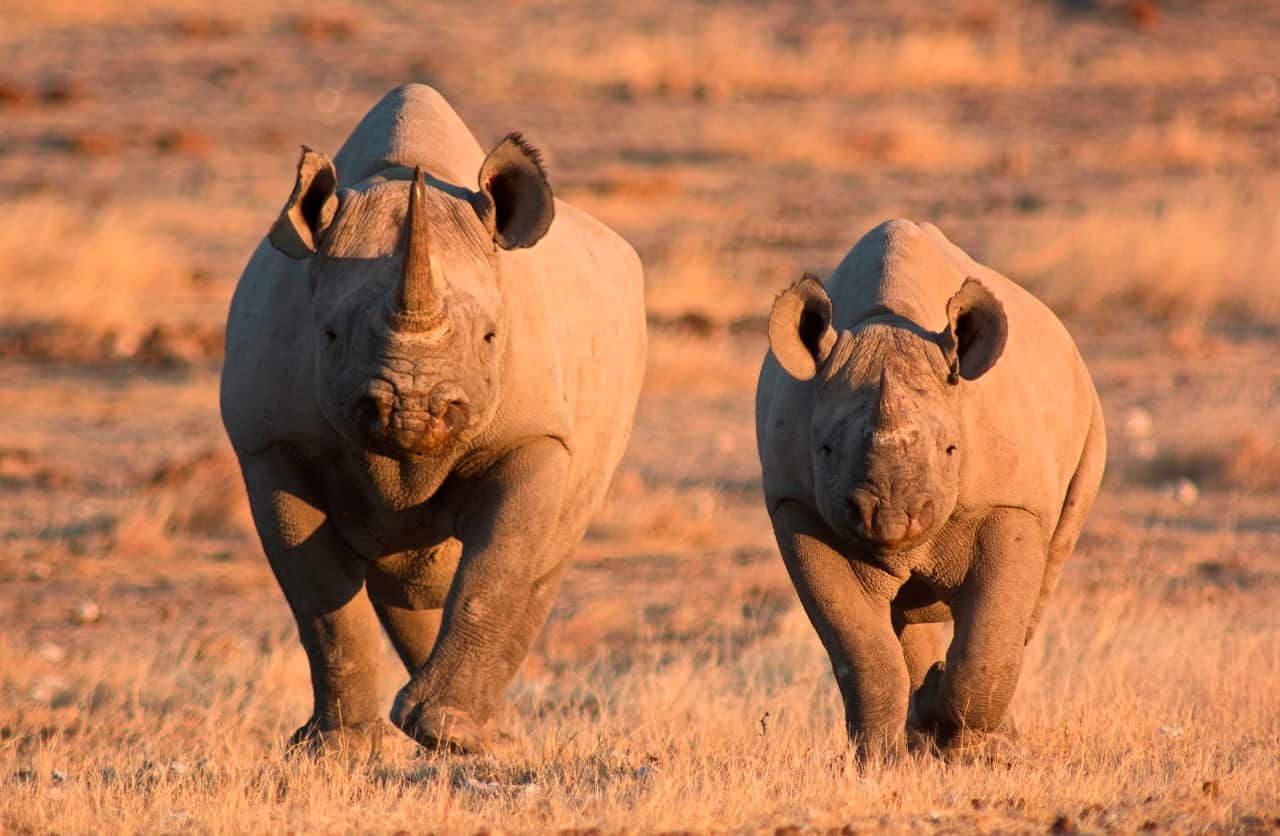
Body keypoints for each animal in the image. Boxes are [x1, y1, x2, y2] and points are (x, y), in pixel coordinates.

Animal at [220, 84, 646, 754]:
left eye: (492, 337)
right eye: (330, 335)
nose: (413, 410)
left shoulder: (536, 434)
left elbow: (498, 569)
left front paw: (448, 735)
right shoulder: (271, 443)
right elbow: (319, 597)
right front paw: (339, 748)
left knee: (543, 560)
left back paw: (479, 737)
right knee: (405, 581)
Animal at [755, 219, 1105, 760]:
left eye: (950, 450)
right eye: (826, 450)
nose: (890, 518)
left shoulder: (1010, 503)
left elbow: (988, 644)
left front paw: (958, 738)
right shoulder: (797, 507)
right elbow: (862, 652)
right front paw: (879, 761)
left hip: (1088, 425)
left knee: (1037, 589)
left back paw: (976, 737)